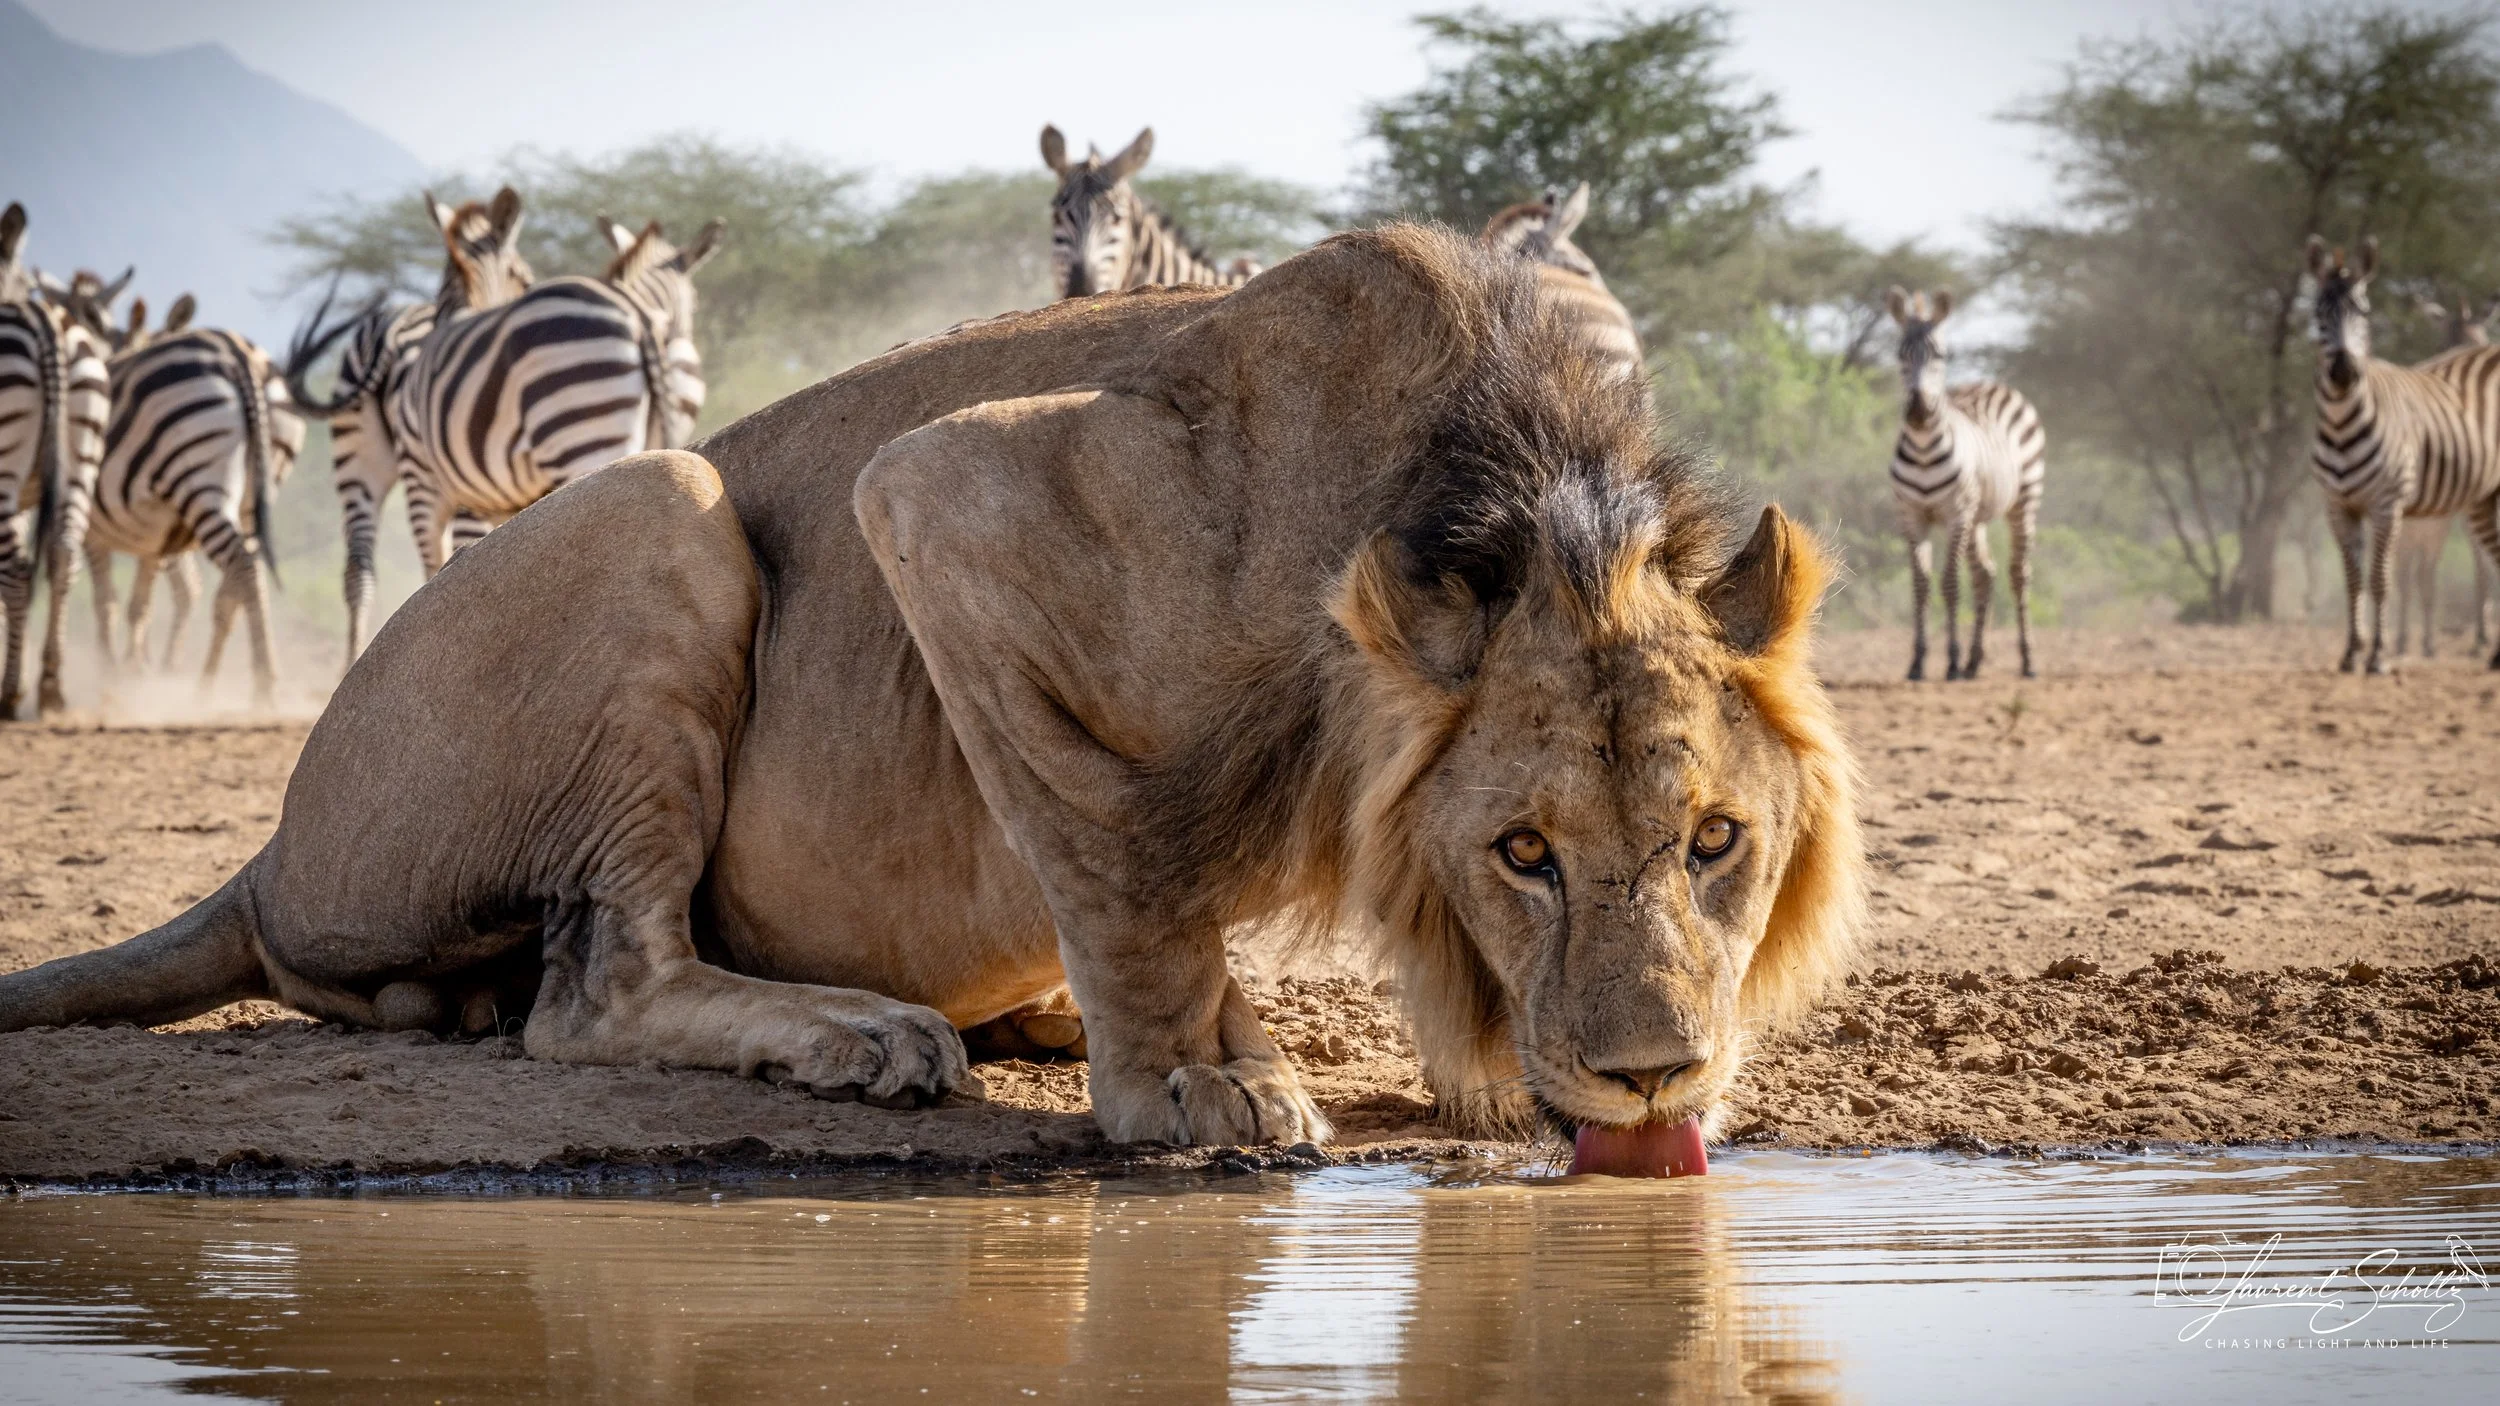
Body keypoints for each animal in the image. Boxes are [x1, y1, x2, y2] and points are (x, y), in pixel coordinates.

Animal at [1886, 287, 2045, 681]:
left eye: (1940, 356)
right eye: (1900, 354)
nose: (1918, 411)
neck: (1924, 449)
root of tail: (1989, 382)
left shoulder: (1955, 514)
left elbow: (1949, 582)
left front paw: (1952, 661)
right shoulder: (1911, 515)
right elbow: (1920, 584)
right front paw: (1918, 662)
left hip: (2023, 500)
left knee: (2018, 573)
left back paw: (2026, 661)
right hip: (1978, 516)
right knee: (1985, 575)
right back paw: (1976, 660)